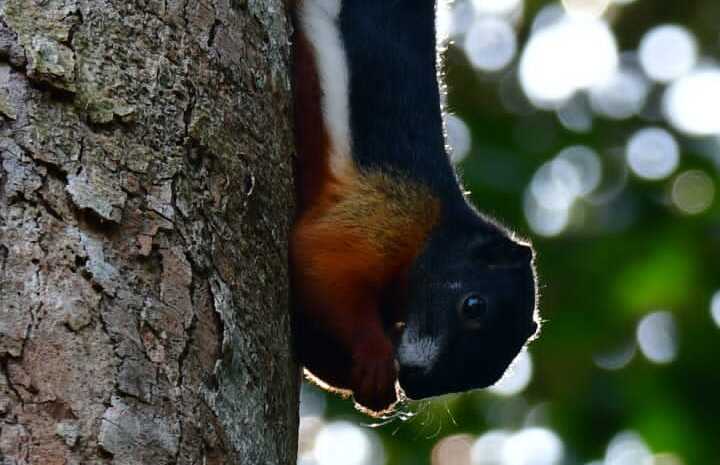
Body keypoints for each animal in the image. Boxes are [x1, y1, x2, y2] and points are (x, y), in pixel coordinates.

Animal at [288, 0, 540, 414]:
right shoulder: (386, 213)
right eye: (473, 306)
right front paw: (376, 358)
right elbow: (322, 266)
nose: (417, 384)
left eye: (492, 373)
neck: (435, 231)